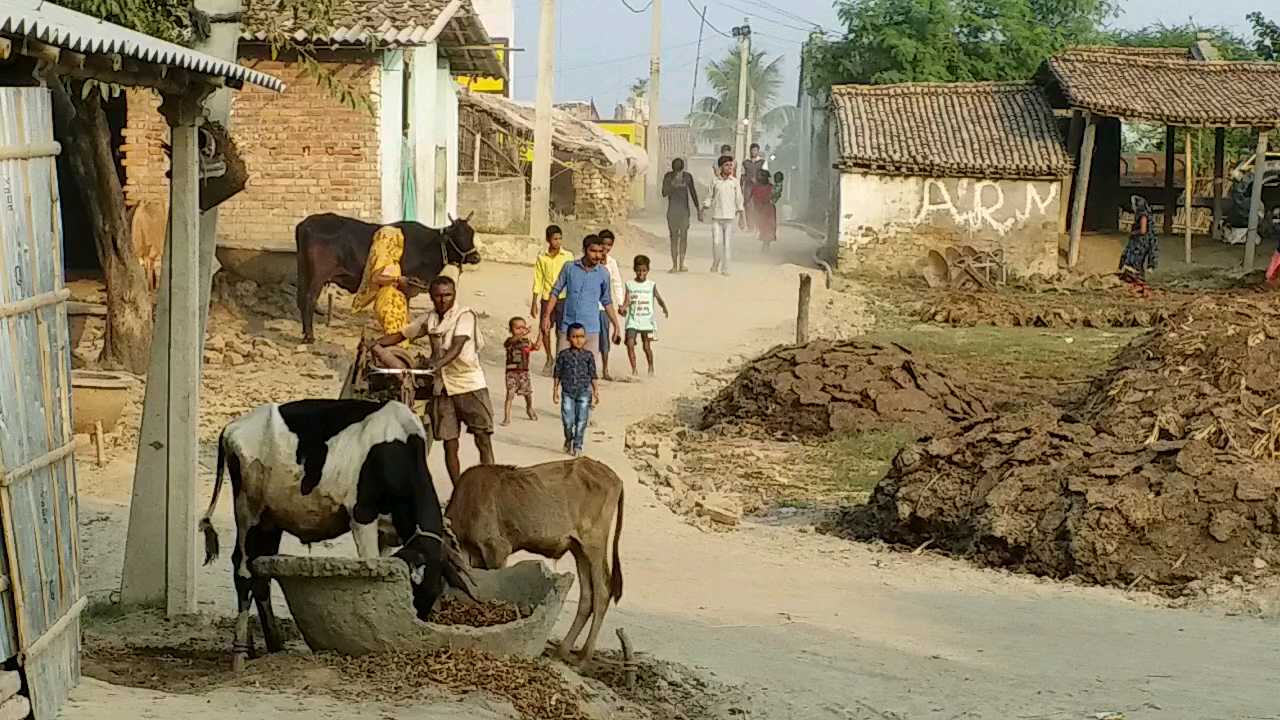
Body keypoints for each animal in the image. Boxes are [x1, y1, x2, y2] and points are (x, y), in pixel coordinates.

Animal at [195, 397, 465, 666]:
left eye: (434, 590)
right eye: (419, 591)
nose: (415, 619)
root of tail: (232, 427)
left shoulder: (386, 532)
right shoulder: (362, 516)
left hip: (270, 521)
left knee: (259, 574)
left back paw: (271, 645)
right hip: (248, 512)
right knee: (243, 571)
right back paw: (240, 653)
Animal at [294, 211, 481, 340]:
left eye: (471, 233)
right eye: (458, 235)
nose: (476, 257)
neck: (430, 245)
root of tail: (305, 224)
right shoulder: (407, 285)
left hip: (303, 271)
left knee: (301, 298)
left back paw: (304, 332)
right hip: (318, 276)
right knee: (309, 298)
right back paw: (310, 336)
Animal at [445, 456, 624, 666]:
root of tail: (615, 478)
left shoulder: (496, 548)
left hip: (593, 543)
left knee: (602, 592)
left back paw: (584, 658)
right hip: (578, 548)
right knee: (587, 596)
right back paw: (562, 650)